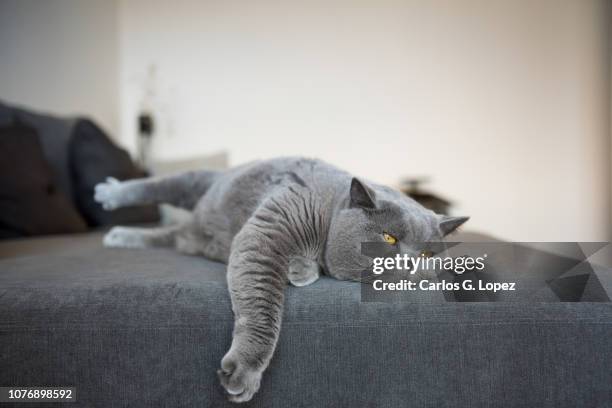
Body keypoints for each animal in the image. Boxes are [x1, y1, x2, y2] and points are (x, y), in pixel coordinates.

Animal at [94, 158, 468, 404]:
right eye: (389, 238)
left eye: (428, 256)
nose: (413, 266)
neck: (329, 212)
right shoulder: (271, 230)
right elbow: (263, 309)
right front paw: (245, 371)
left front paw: (301, 269)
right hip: (204, 182)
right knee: (168, 183)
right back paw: (109, 194)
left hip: (193, 231)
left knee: (172, 236)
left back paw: (122, 235)